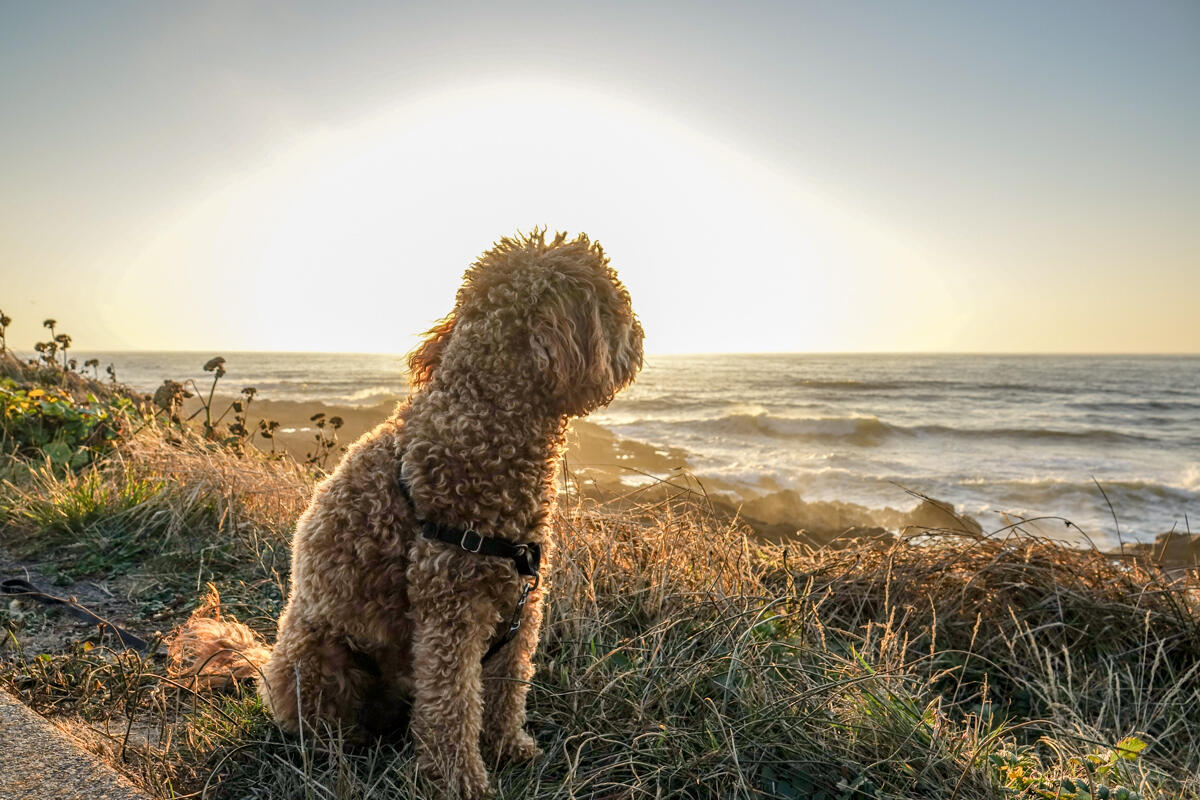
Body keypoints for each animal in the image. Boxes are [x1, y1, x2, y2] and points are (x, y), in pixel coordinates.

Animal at [169, 227, 643, 796]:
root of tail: (265, 666)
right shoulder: (450, 610)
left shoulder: (520, 604)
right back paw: (339, 746)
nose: (639, 336)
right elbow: (453, 708)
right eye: (615, 304)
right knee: (316, 717)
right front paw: (462, 782)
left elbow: (506, 689)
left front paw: (507, 748)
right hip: (317, 654)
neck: (481, 410)